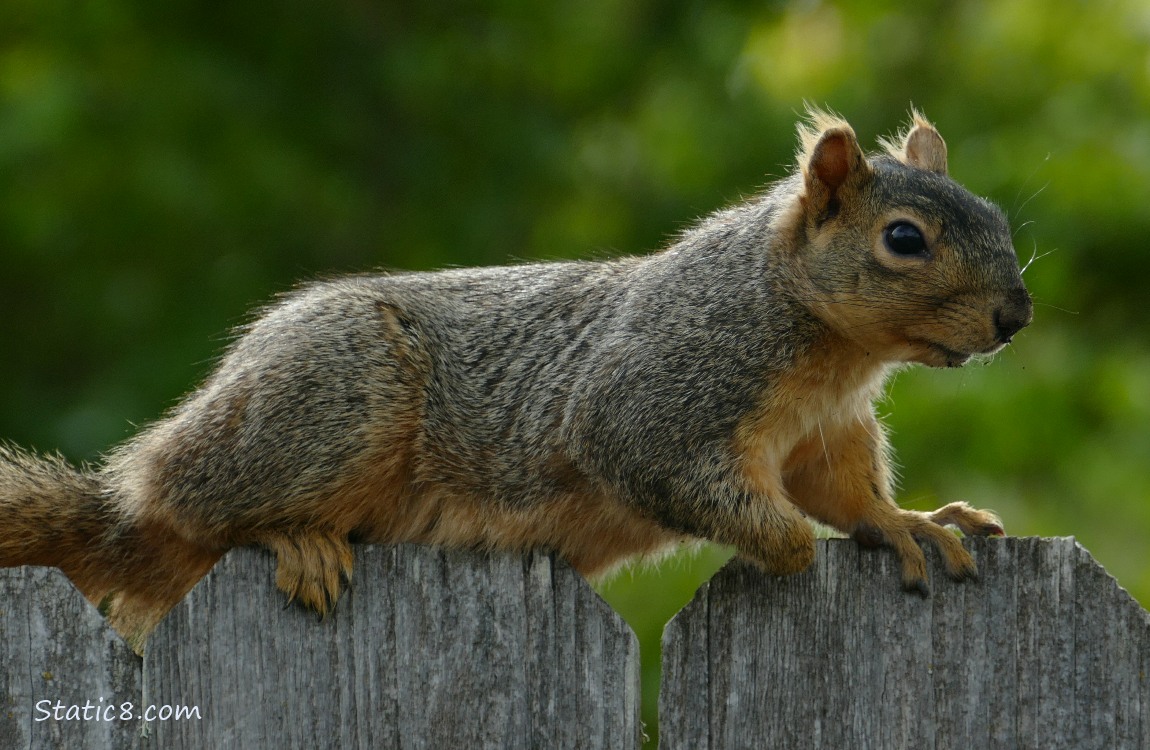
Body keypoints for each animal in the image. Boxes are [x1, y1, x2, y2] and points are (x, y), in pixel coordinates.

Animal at [0, 108, 1035, 648]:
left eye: (994, 216)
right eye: (904, 239)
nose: (1016, 315)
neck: (830, 352)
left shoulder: (827, 433)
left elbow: (847, 494)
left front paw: (907, 522)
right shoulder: (658, 395)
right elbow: (698, 486)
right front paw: (785, 545)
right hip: (333, 402)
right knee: (203, 506)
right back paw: (295, 540)